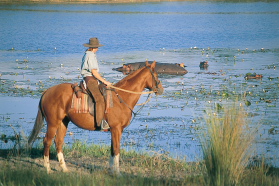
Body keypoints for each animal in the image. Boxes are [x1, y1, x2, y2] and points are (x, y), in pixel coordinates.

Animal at [27, 61, 164, 174]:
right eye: (156, 75)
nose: (161, 89)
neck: (121, 97)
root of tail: (47, 91)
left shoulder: (114, 130)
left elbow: (112, 150)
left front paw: (111, 171)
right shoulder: (116, 129)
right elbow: (116, 149)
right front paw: (117, 173)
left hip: (63, 122)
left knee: (58, 142)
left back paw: (64, 168)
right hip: (53, 123)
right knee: (47, 141)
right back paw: (48, 168)